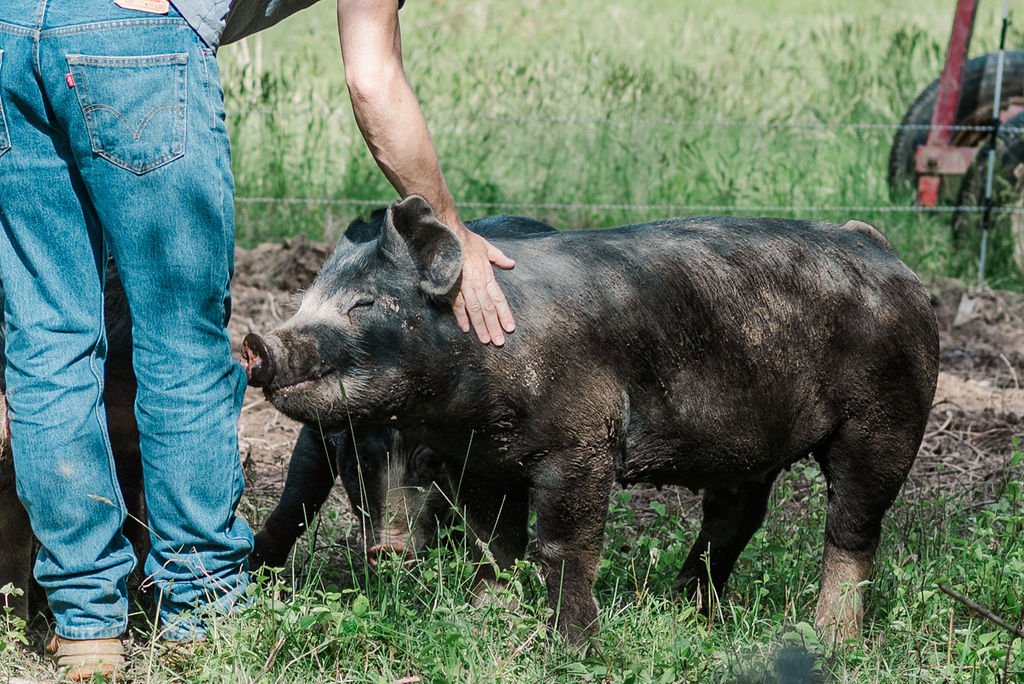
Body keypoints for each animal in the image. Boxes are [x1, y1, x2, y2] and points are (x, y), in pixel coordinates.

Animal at [251, 210, 557, 569]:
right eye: (361, 464)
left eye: (430, 462)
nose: (388, 548)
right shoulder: (317, 430)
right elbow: (298, 496)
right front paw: (255, 565)